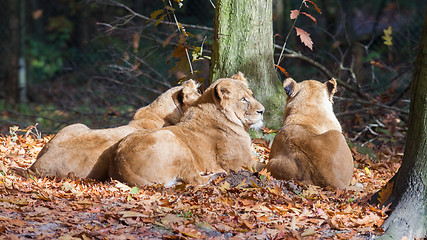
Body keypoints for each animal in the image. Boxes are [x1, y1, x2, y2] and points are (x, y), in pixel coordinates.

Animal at [108, 72, 266, 187]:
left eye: (251, 95)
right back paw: (217, 175)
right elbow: (264, 165)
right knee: (194, 179)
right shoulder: (242, 163)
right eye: (243, 99)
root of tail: (120, 163)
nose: (262, 111)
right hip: (173, 140)